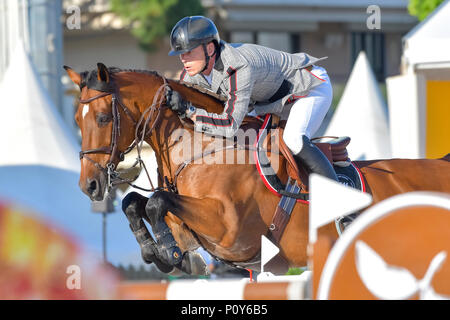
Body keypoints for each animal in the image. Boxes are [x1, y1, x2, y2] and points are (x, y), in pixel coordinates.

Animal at [63, 63, 450, 276]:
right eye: (76, 119)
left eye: (102, 118)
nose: (89, 186)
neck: (204, 149)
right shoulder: (189, 221)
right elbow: (136, 202)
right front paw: (157, 253)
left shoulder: (229, 229)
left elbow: (156, 201)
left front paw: (169, 254)